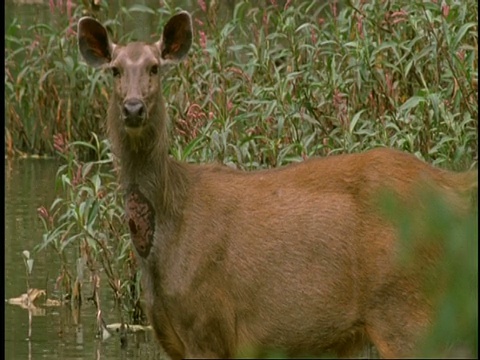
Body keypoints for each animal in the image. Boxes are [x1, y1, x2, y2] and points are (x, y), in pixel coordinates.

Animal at [77, 9, 478, 358]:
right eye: (114, 70)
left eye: (155, 67)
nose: (133, 108)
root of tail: (455, 187)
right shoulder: (172, 337)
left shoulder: (207, 325)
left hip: (406, 309)